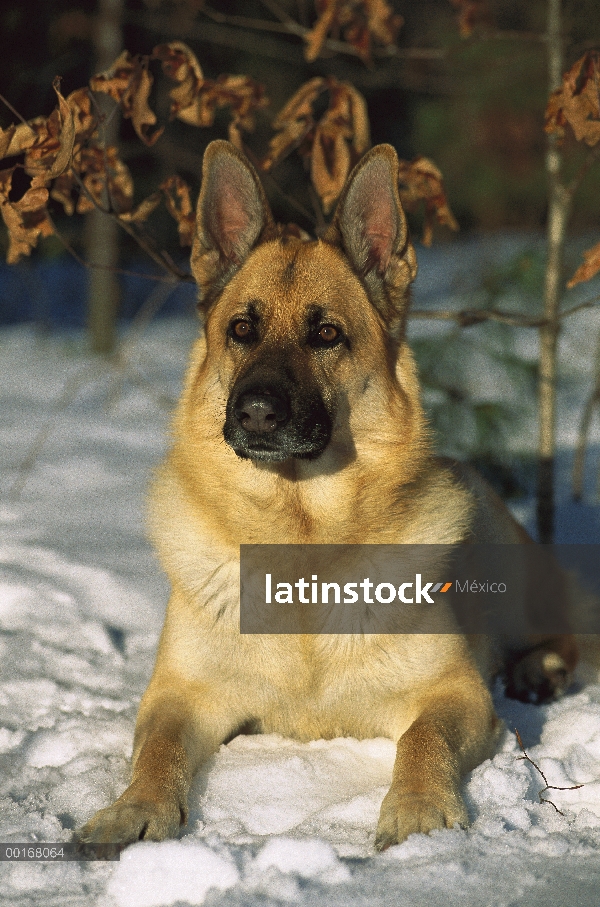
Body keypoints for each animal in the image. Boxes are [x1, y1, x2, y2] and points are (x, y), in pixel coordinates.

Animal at [77, 142, 580, 852]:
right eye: (241, 329)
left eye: (326, 335)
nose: (256, 412)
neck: (302, 546)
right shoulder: (178, 697)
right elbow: (157, 751)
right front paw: (135, 807)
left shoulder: (456, 695)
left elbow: (422, 740)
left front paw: (419, 810)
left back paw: (542, 670)